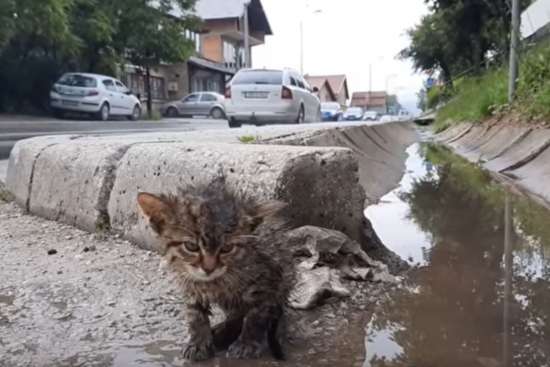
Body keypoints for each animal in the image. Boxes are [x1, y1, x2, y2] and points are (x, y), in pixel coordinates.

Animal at [138, 185, 292, 360]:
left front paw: (247, 342)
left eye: (227, 248)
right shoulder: (188, 282)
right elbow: (195, 313)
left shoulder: (267, 278)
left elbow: (256, 314)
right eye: (191, 246)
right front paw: (198, 341)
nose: (209, 268)